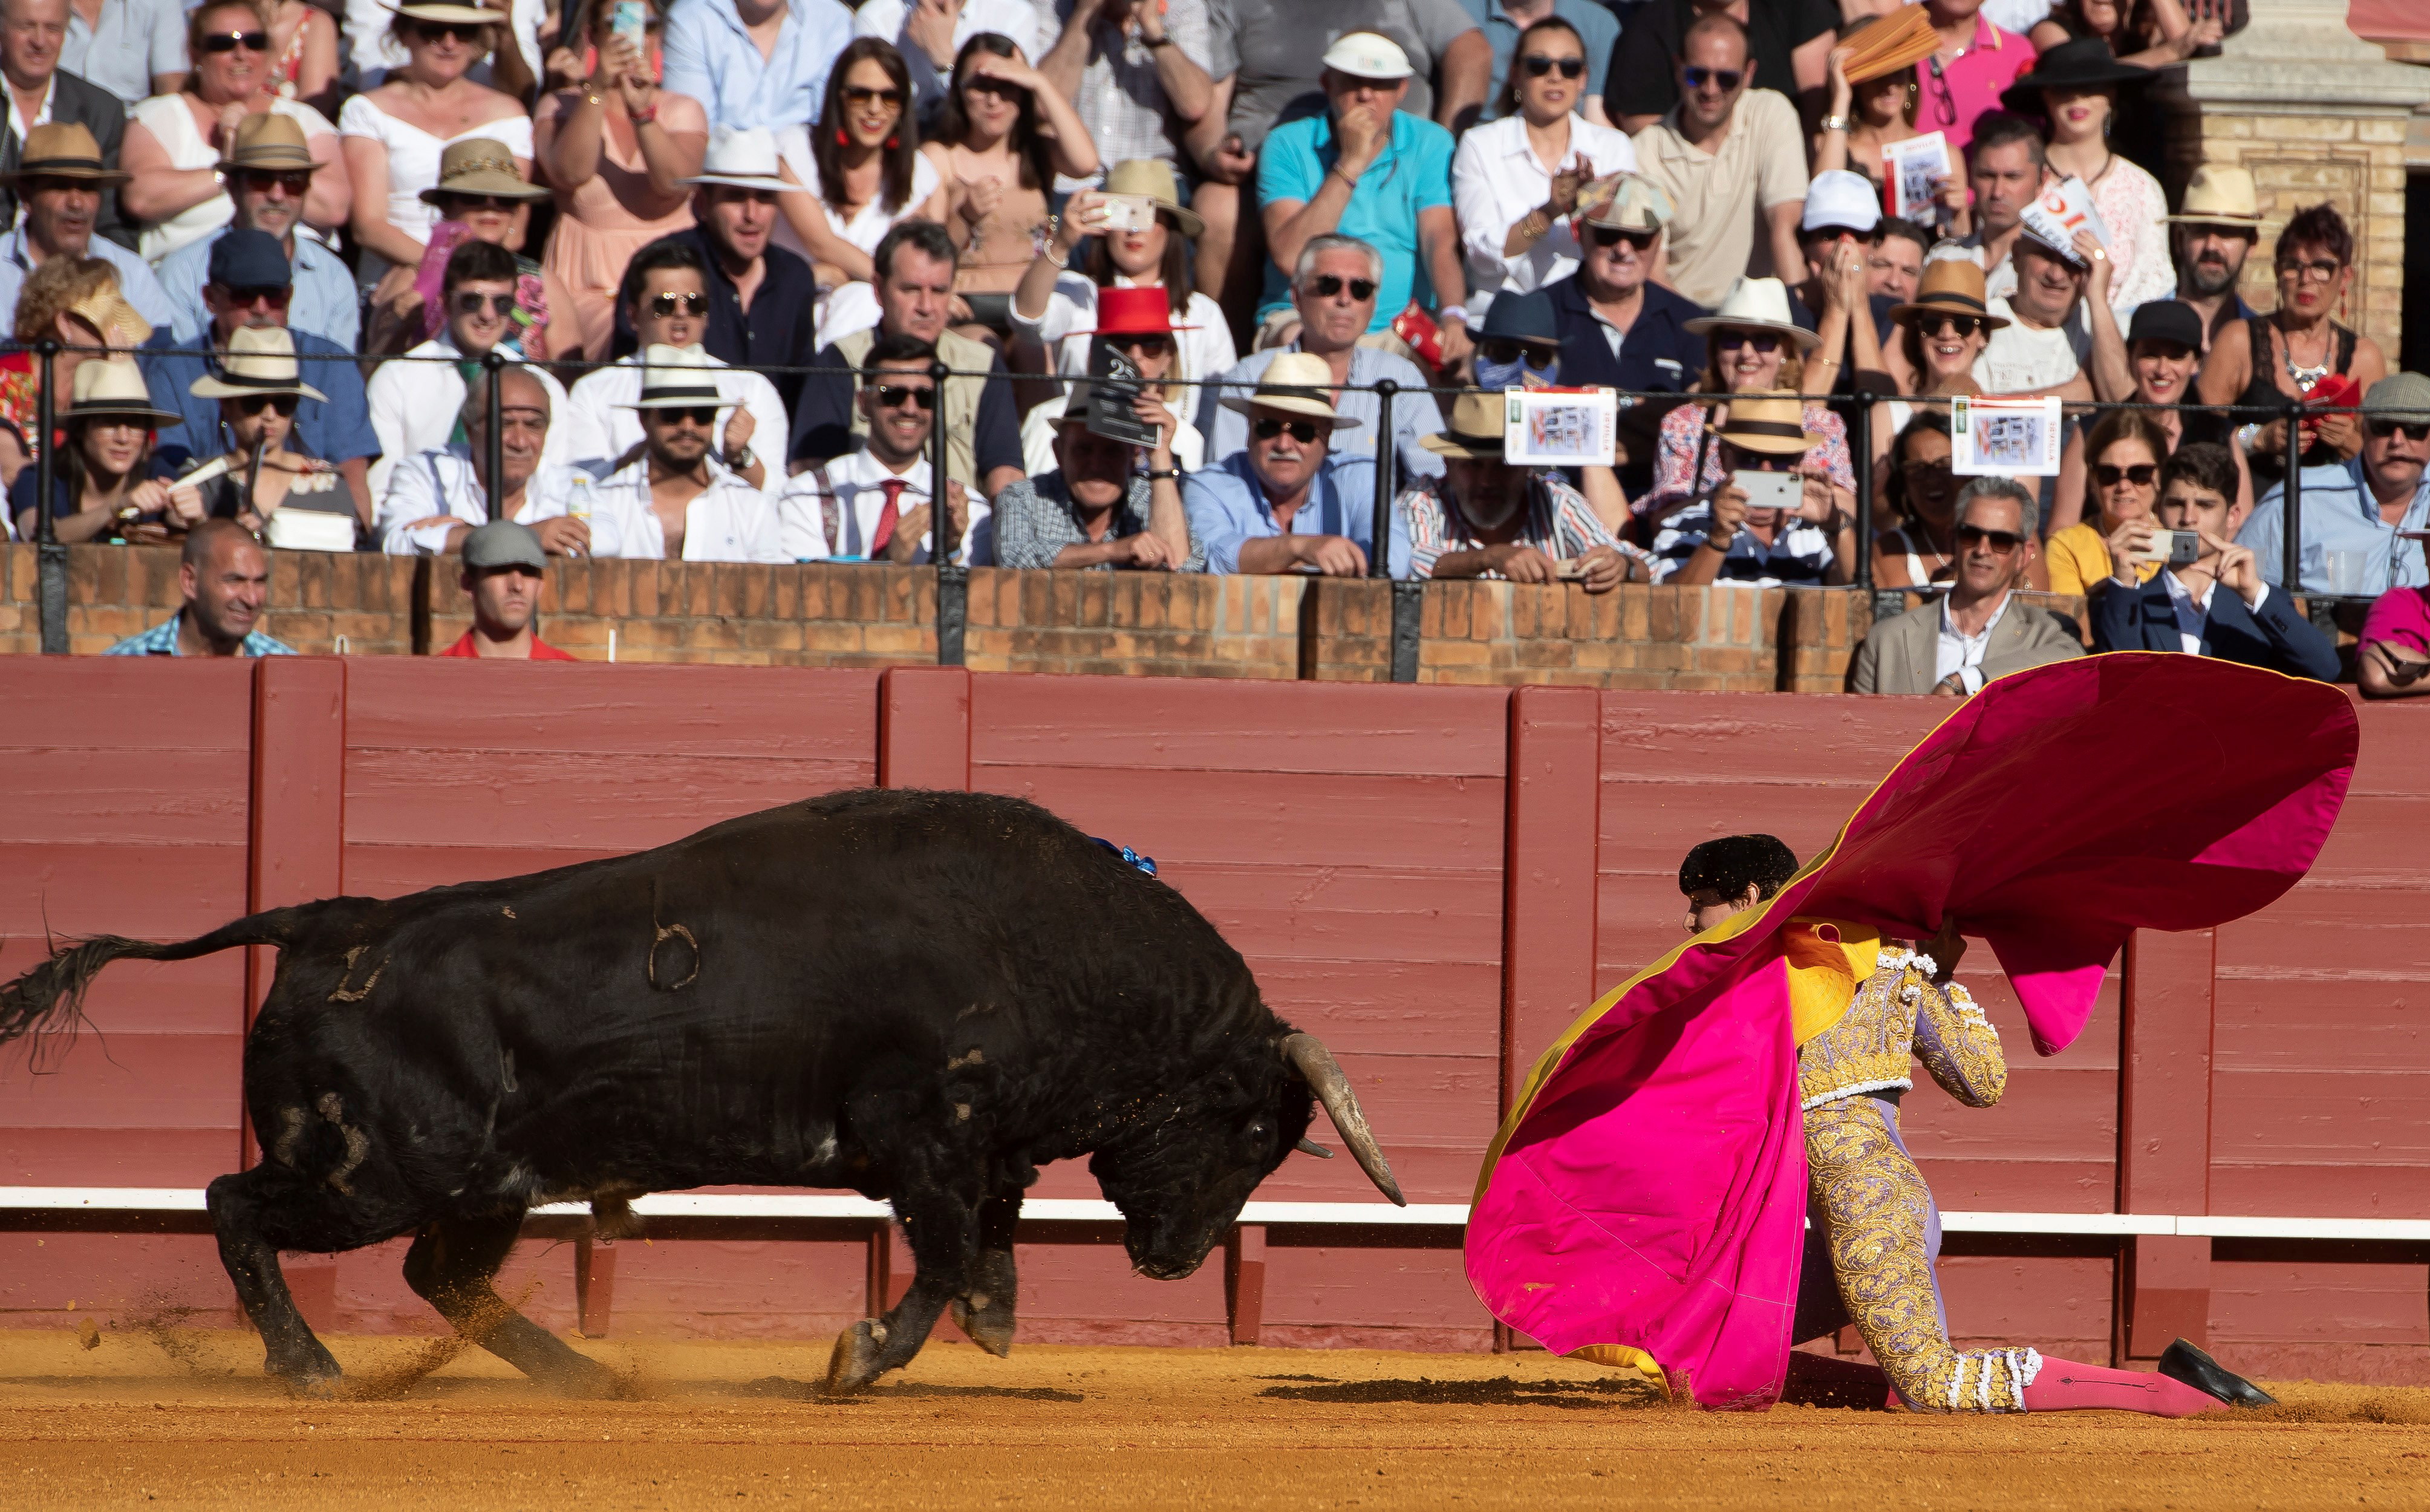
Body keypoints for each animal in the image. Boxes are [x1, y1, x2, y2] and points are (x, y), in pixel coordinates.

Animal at [0, 792, 1409, 1400]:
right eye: (1249, 1125)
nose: (1179, 1261)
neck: (1050, 946)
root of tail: (321, 921)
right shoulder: (921, 1137)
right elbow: (946, 1256)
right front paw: (858, 1358)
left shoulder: (976, 1145)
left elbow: (984, 1246)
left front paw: (994, 1326)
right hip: (383, 1168)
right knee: (234, 1202)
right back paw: (311, 1368)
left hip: (481, 1183)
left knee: (439, 1275)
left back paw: (592, 1378)